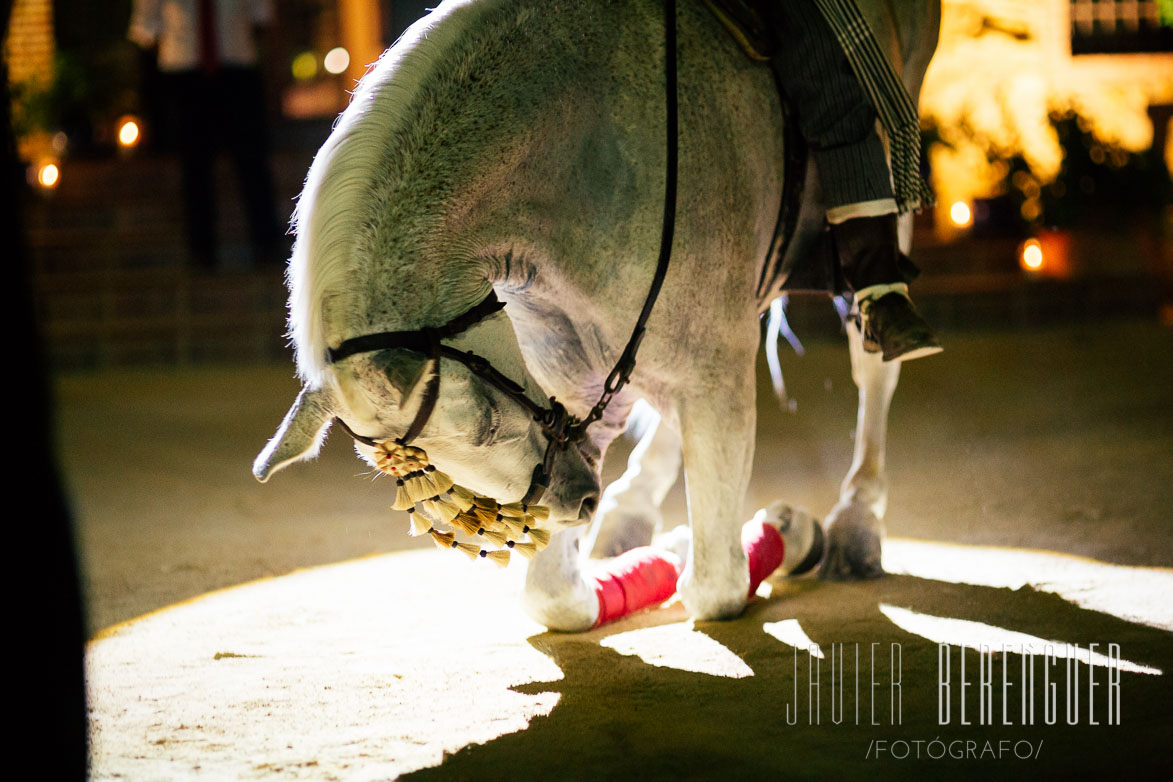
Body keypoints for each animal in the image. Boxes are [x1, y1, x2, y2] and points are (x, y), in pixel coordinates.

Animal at [252, 0, 938, 628]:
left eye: (485, 426)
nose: (580, 500)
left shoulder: (702, 370)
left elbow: (715, 586)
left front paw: (785, 533)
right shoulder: (580, 373)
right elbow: (556, 596)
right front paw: (650, 551)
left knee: (873, 367)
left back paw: (854, 526)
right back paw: (630, 513)